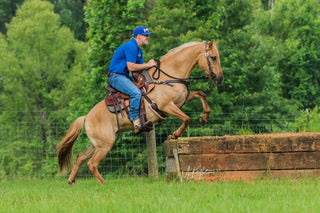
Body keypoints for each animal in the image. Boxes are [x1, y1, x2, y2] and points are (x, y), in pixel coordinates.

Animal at [56, 40, 224, 185]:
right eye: (213, 57)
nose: (220, 79)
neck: (168, 77)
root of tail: (87, 117)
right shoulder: (167, 106)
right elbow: (186, 118)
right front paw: (174, 135)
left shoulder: (182, 99)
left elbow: (201, 94)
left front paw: (204, 117)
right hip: (105, 144)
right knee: (92, 164)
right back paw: (104, 184)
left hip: (97, 143)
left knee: (81, 157)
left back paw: (71, 180)